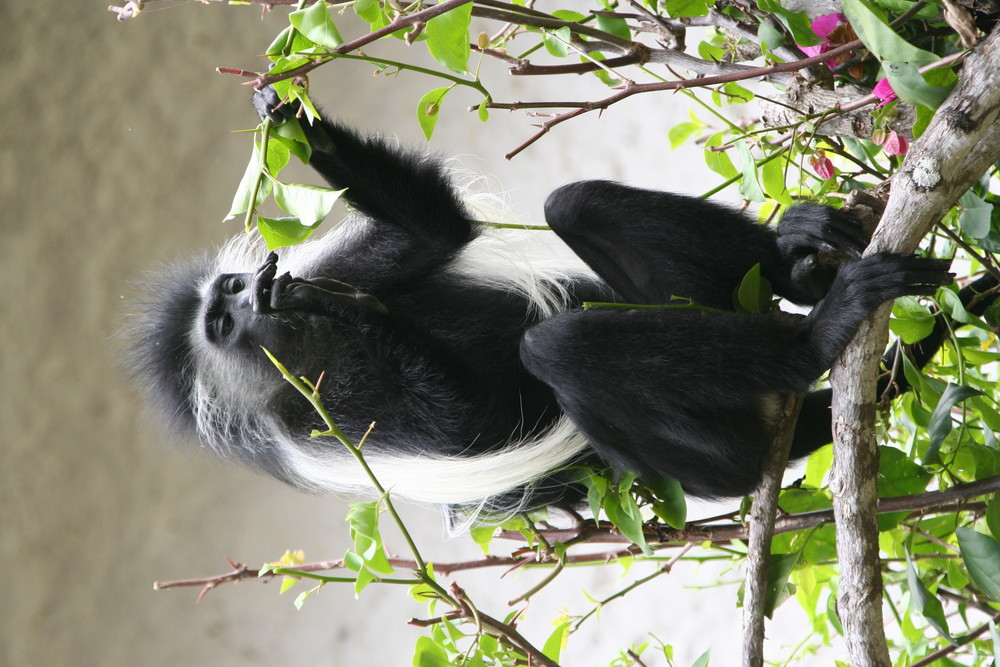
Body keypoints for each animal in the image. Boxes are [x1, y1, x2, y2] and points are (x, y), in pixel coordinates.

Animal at [129, 88, 956, 516]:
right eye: (221, 323)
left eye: (225, 297)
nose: (249, 291)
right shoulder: (311, 416)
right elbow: (461, 421)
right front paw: (345, 309)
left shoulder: (345, 265)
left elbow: (436, 230)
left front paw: (288, 112)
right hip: (708, 457)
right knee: (559, 349)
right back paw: (818, 333)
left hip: (697, 302)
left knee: (578, 204)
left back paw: (800, 265)